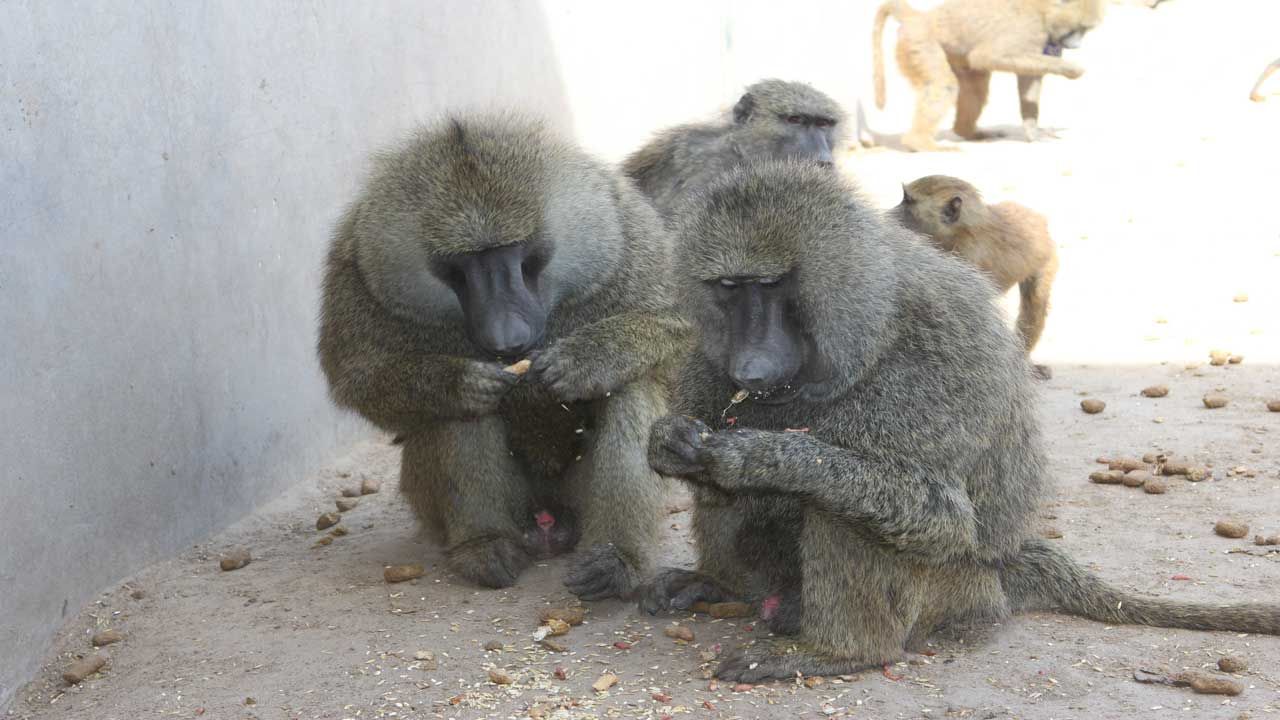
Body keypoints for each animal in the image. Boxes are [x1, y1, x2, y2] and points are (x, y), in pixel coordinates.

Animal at [318, 114, 690, 598]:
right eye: (464, 264)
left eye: (513, 253)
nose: (506, 337)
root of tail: (548, 521)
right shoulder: (356, 272)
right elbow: (359, 380)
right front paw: (460, 380)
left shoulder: (629, 237)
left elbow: (682, 336)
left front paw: (589, 359)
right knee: (462, 414)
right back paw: (485, 544)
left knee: (630, 392)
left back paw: (614, 559)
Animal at [872, 0, 1105, 151]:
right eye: (1080, 28)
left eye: (1086, 30)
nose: (1076, 46)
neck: (1041, 9)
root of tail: (920, 17)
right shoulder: (1028, 29)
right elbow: (986, 56)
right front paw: (1070, 68)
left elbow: (1028, 79)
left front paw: (1033, 132)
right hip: (919, 42)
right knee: (944, 84)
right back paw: (919, 143)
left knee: (976, 89)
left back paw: (968, 132)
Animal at [894, 175, 1058, 379]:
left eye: (908, 201)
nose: (891, 213)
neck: (962, 234)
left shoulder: (967, 259)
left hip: (1047, 260)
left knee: (1035, 303)